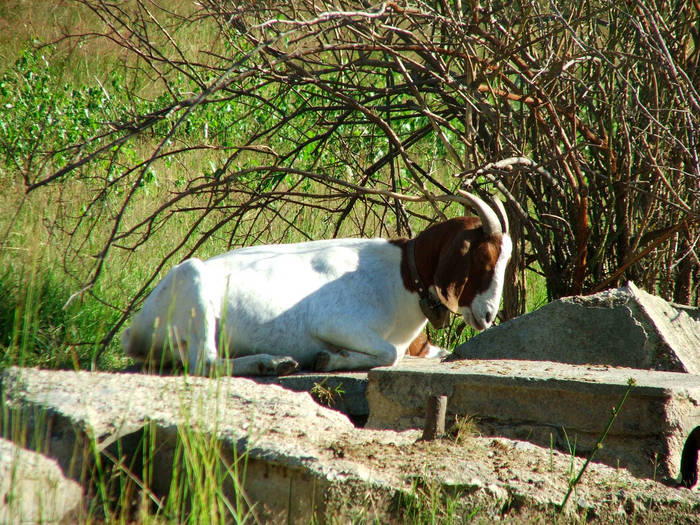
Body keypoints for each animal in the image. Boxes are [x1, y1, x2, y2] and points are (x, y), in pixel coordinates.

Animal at [123, 190, 512, 374]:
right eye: (483, 259)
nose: (488, 315)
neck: (400, 275)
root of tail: (134, 329)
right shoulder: (334, 322)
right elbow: (388, 353)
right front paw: (330, 358)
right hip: (194, 284)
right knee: (204, 362)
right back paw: (271, 363)